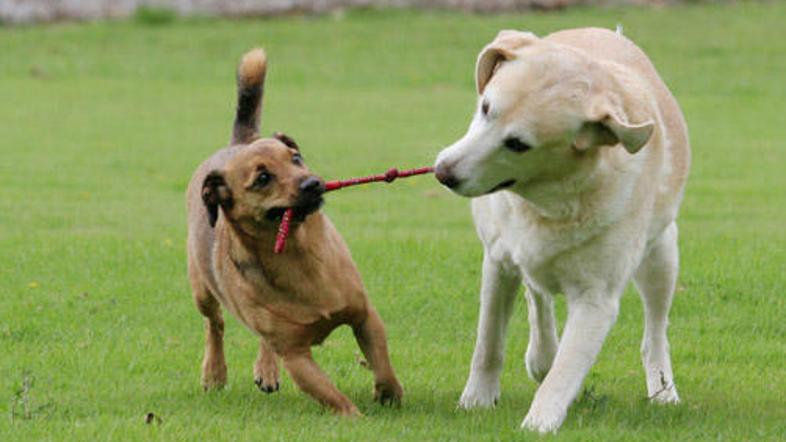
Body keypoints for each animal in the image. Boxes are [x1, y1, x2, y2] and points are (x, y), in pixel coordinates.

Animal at [186, 48, 402, 414]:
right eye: (263, 178)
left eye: (296, 158)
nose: (312, 183)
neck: (297, 254)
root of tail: (239, 142)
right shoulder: (295, 355)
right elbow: (333, 397)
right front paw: (357, 417)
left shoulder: (365, 317)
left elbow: (383, 363)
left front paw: (389, 394)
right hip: (202, 288)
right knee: (214, 324)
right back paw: (215, 372)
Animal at [432, 27, 688, 432]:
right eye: (486, 108)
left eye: (518, 144)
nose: (444, 173)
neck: (549, 201)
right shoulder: (498, 262)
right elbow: (489, 344)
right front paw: (476, 400)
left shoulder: (596, 300)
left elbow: (566, 371)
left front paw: (538, 423)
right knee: (537, 295)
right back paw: (541, 354)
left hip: (661, 256)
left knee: (655, 333)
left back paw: (663, 390)